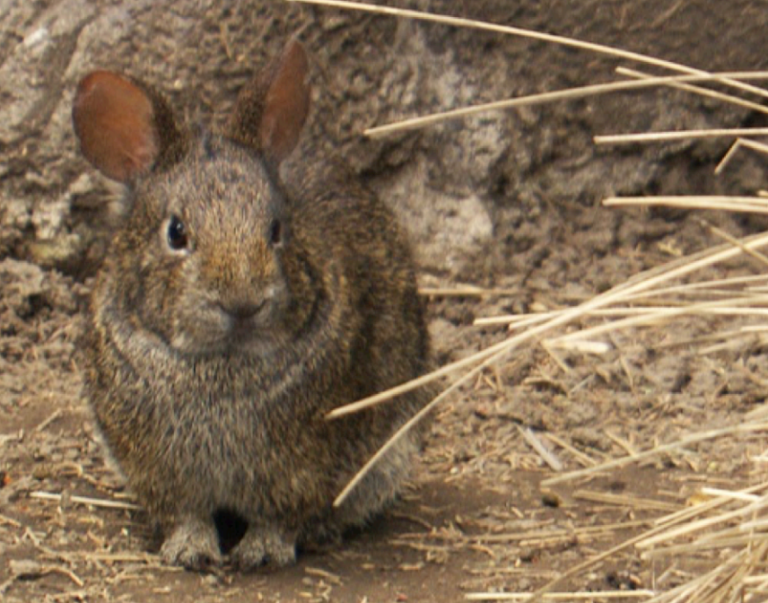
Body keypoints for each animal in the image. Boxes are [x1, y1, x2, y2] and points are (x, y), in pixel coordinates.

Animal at [73, 39, 432, 572]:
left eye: (277, 229)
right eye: (176, 232)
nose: (243, 302)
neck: (221, 363)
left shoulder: (304, 467)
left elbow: (278, 515)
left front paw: (263, 551)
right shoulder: (160, 472)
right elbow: (187, 513)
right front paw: (190, 550)